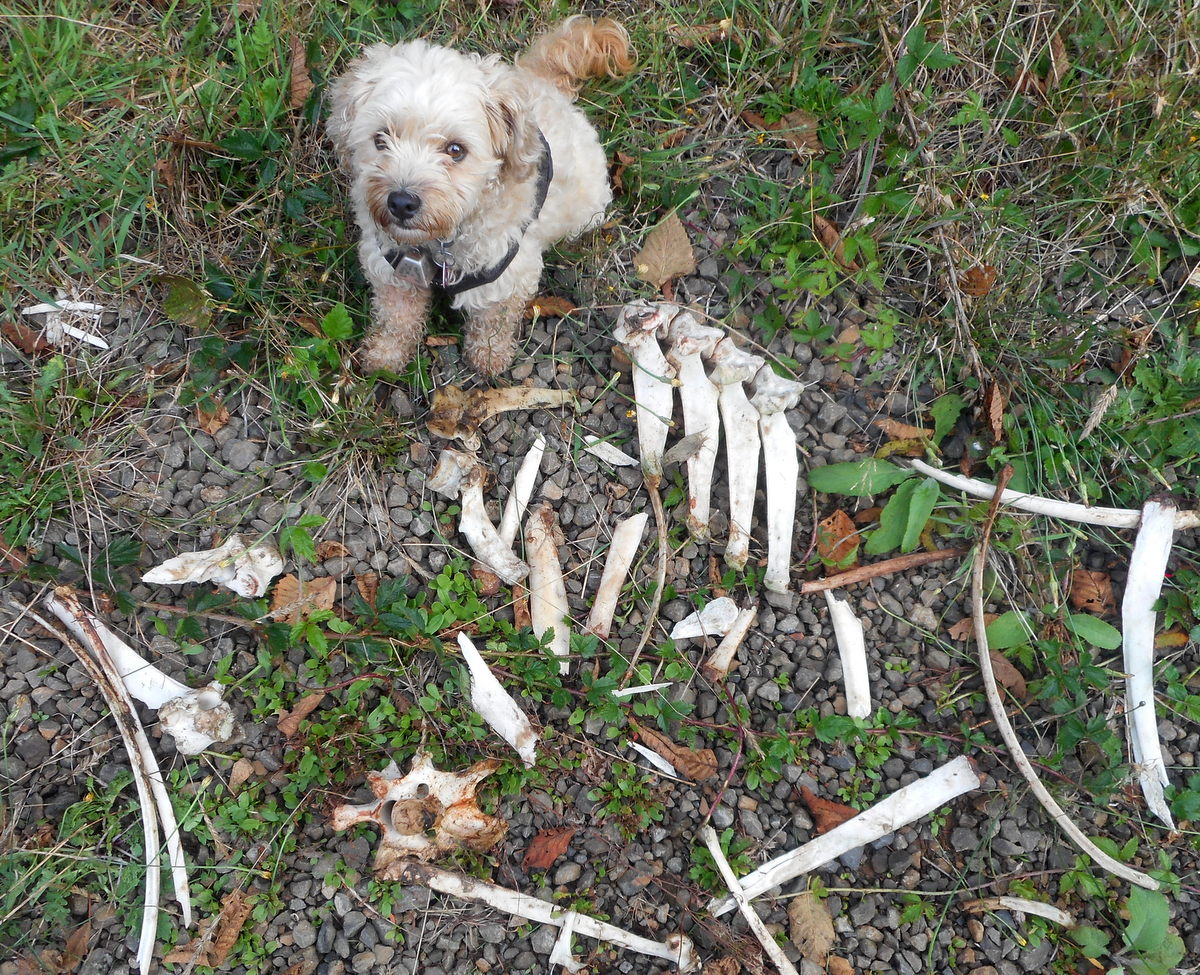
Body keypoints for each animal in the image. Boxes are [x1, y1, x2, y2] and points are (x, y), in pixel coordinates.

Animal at [324, 19, 633, 377]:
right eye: (380, 139)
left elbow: (493, 320)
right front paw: (386, 356)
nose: (401, 202)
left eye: (456, 149)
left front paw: (488, 355)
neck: (439, 244)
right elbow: (395, 317)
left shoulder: (509, 272)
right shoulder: (392, 269)